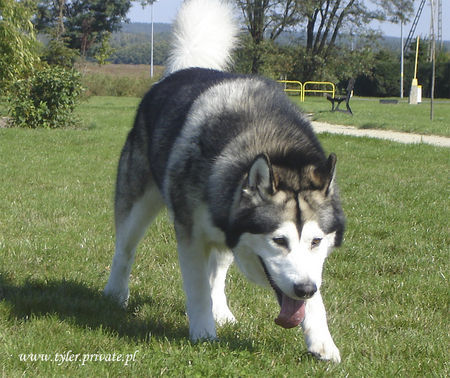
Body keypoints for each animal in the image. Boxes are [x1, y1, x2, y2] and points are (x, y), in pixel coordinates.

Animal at [104, 0, 344, 362]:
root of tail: (181, 72)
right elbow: (197, 288)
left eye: (316, 241)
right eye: (279, 241)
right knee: (125, 250)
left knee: (217, 272)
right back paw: (115, 293)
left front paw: (322, 340)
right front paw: (203, 333)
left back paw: (222, 311)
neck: (275, 148)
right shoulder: (189, 235)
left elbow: (314, 300)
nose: (304, 289)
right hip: (138, 205)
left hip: (224, 230)